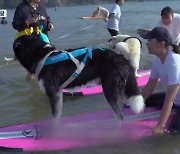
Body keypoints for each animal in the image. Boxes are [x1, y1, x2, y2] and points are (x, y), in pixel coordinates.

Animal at [13, 33, 144, 121]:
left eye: (14, 46)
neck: (43, 56)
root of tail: (122, 59)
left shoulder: (53, 94)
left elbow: (55, 117)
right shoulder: (58, 93)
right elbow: (58, 115)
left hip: (109, 89)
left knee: (120, 114)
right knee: (121, 105)